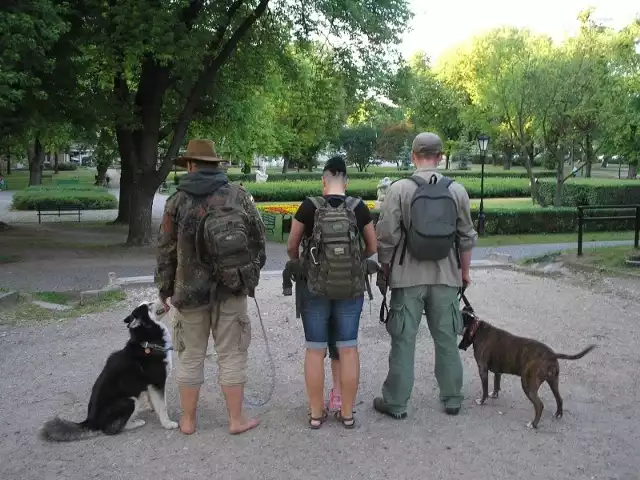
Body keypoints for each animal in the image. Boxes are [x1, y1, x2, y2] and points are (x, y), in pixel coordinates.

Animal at [460, 308, 596, 432]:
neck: (476, 328)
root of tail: (551, 354)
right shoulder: (498, 371)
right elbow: (496, 383)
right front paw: (494, 394)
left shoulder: (482, 370)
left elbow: (484, 389)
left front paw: (482, 401)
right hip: (553, 381)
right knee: (559, 398)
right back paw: (558, 414)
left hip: (527, 384)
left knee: (539, 405)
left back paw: (533, 424)